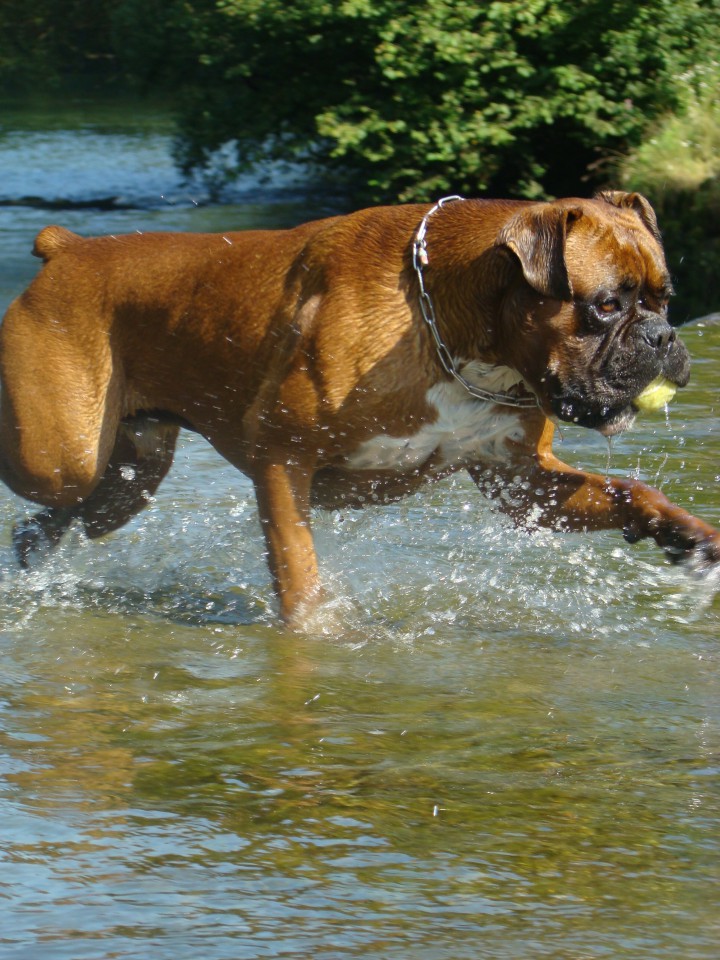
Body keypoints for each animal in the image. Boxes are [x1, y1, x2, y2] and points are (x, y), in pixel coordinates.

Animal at [0, 191, 716, 628]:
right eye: (606, 305)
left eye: (664, 297)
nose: (664, 337)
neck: (447, 332)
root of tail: (69, 247)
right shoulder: (282, 462)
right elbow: (298, 570)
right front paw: (320, 633)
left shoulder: (520, 481)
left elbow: (628, 492)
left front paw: (685, 534)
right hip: (60, 457)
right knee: (50, 490)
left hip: (129, 478)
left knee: (55, 521)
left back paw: (36, 554)